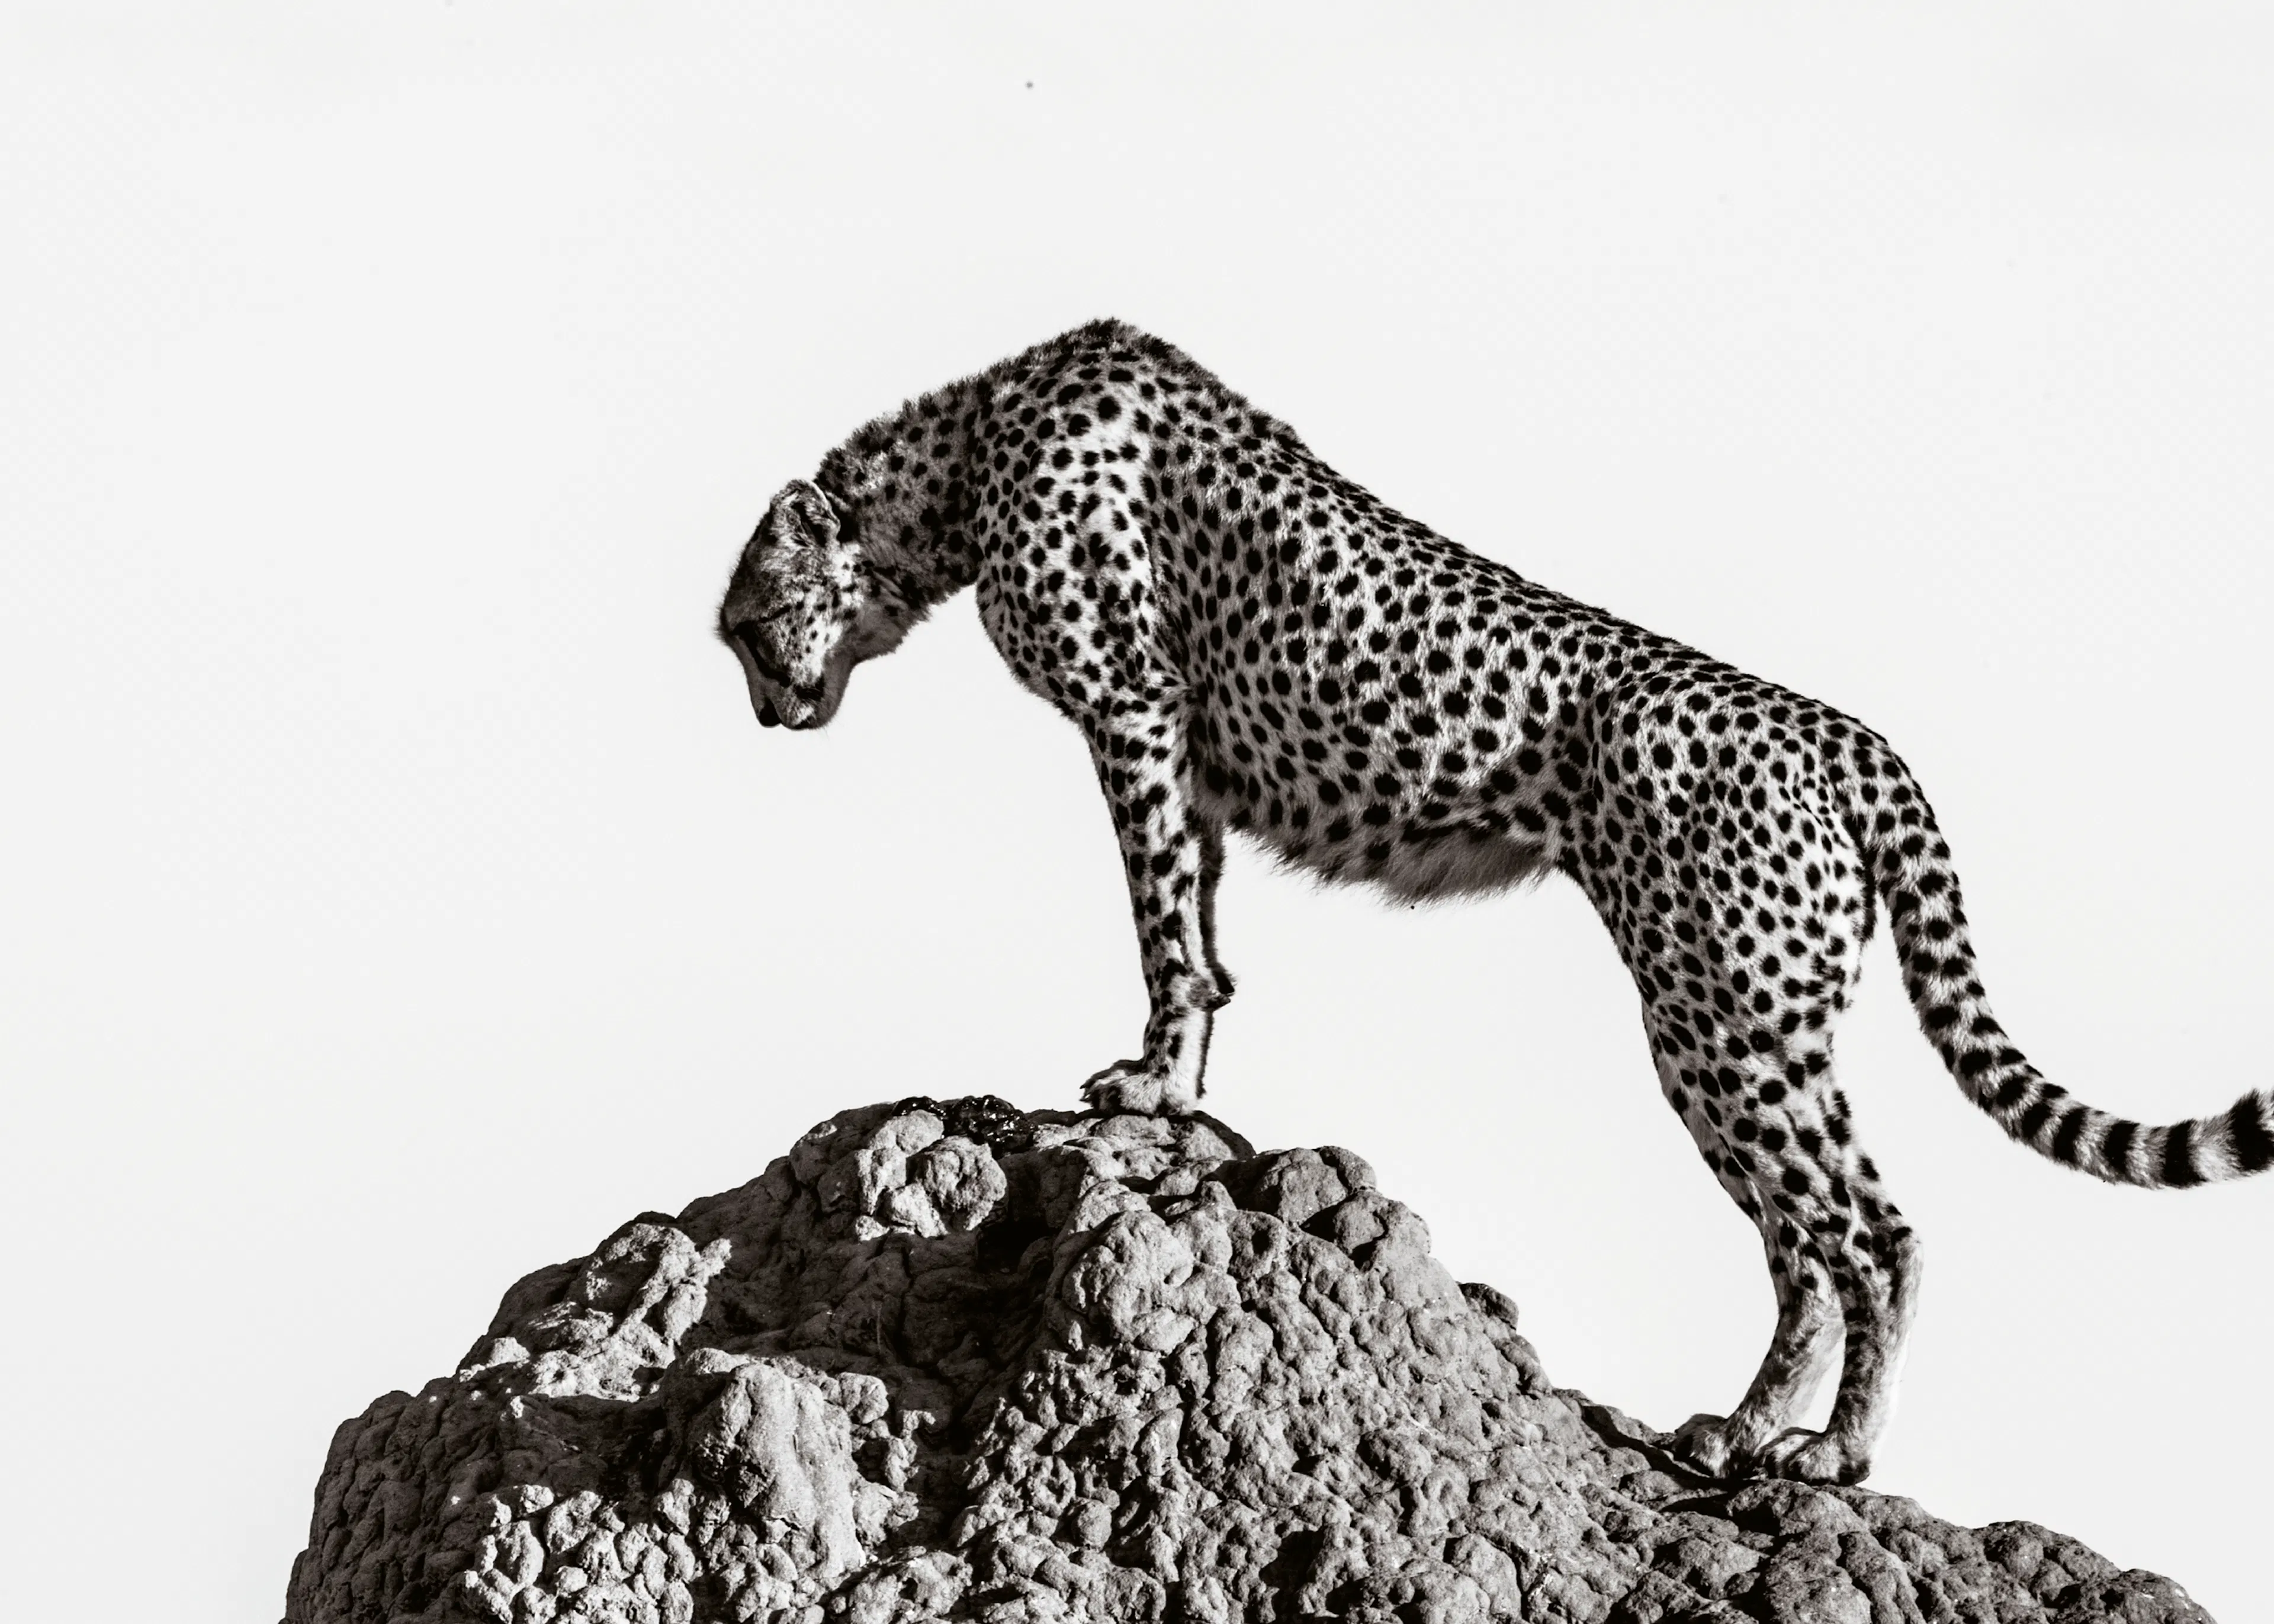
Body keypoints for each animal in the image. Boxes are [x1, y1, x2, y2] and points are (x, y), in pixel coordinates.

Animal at [715, 319, 2272, 1487]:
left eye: (744, 624)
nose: (769, 711)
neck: (965, 451)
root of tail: (1846, 733)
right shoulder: (1193, 762)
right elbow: (1204, 943)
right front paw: (1184, 1087)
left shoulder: (1136, 716)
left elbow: (1162, 929)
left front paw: (1147, 1087)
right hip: (1751, 1029)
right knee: (1804, 1241)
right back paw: (1744, 1429)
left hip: (1720, 1018)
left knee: (1866, 1227)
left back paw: (1835, 1451)